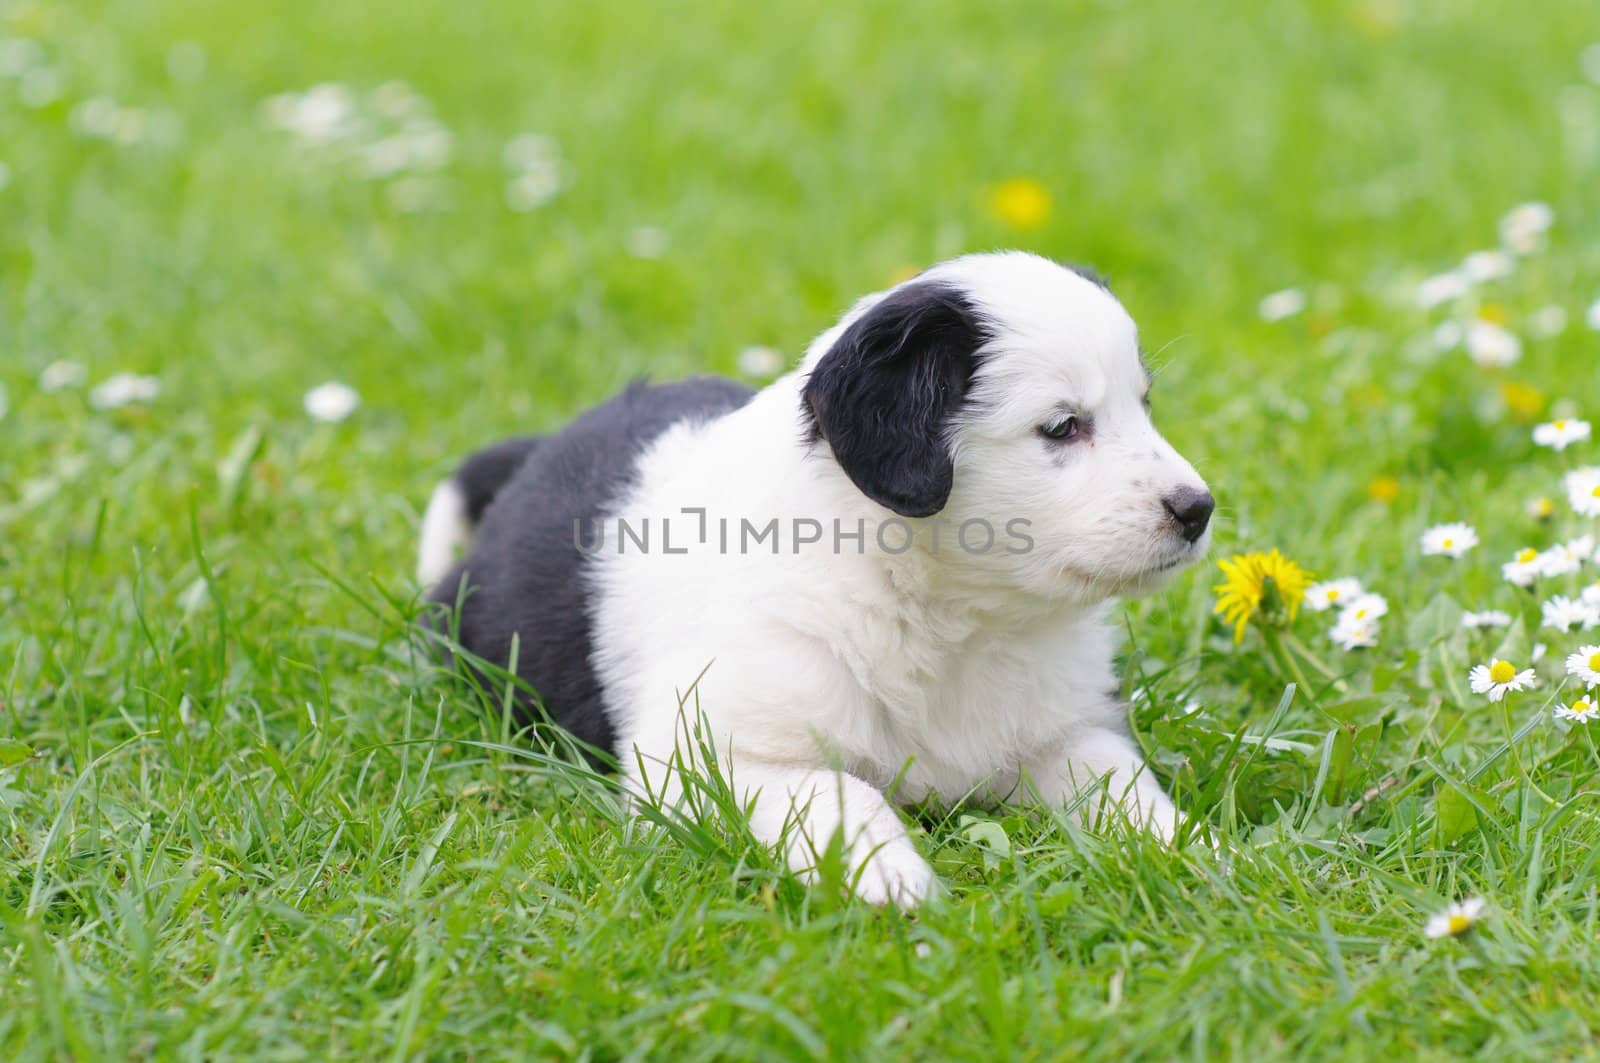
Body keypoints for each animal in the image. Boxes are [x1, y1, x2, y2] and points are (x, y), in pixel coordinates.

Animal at [419, 249, 1216, 902]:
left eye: (1143, 405)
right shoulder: (707, 756)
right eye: (1061, 427)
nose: (1198, 509)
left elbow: (1124, 785)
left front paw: (1194, 853)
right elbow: (840, 795)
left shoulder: (1065, 728)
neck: (945, 613)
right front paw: (890, 879)